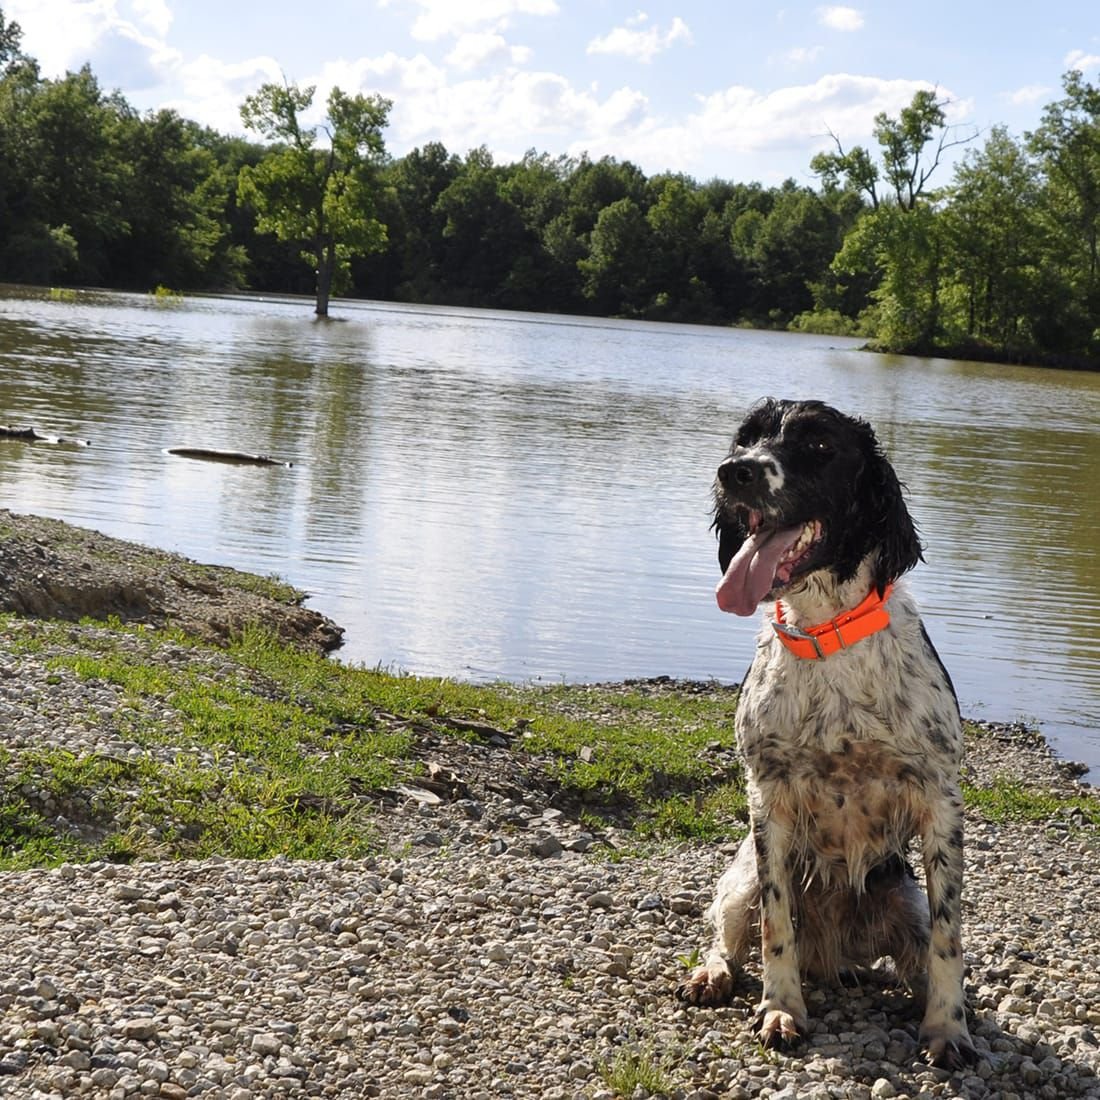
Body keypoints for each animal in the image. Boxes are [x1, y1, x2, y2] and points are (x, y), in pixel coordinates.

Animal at [677, 400, 981, 1069]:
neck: (827, 636)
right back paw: (713, 975)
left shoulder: (940, 801)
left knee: (915, 960)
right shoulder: (768, 800)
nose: (735, 471)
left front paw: (948, 1029)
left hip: (904, 901)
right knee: (727, 936)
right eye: (746, 437)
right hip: (740, 877)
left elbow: (950, 941)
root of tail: (832, 955)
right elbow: (776, 927)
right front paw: (781, 1010)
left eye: (819, 444)